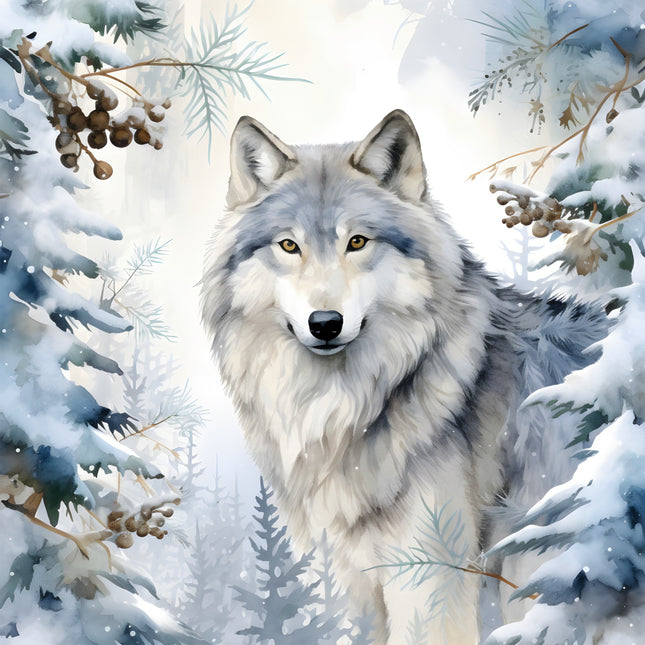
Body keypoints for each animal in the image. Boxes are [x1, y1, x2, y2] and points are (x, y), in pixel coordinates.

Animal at [200, 110, 607, 644]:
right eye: (289, 245)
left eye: (357, 242)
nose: (325, 323)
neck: (344, 409)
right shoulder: (358, 587)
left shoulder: (431, 585)